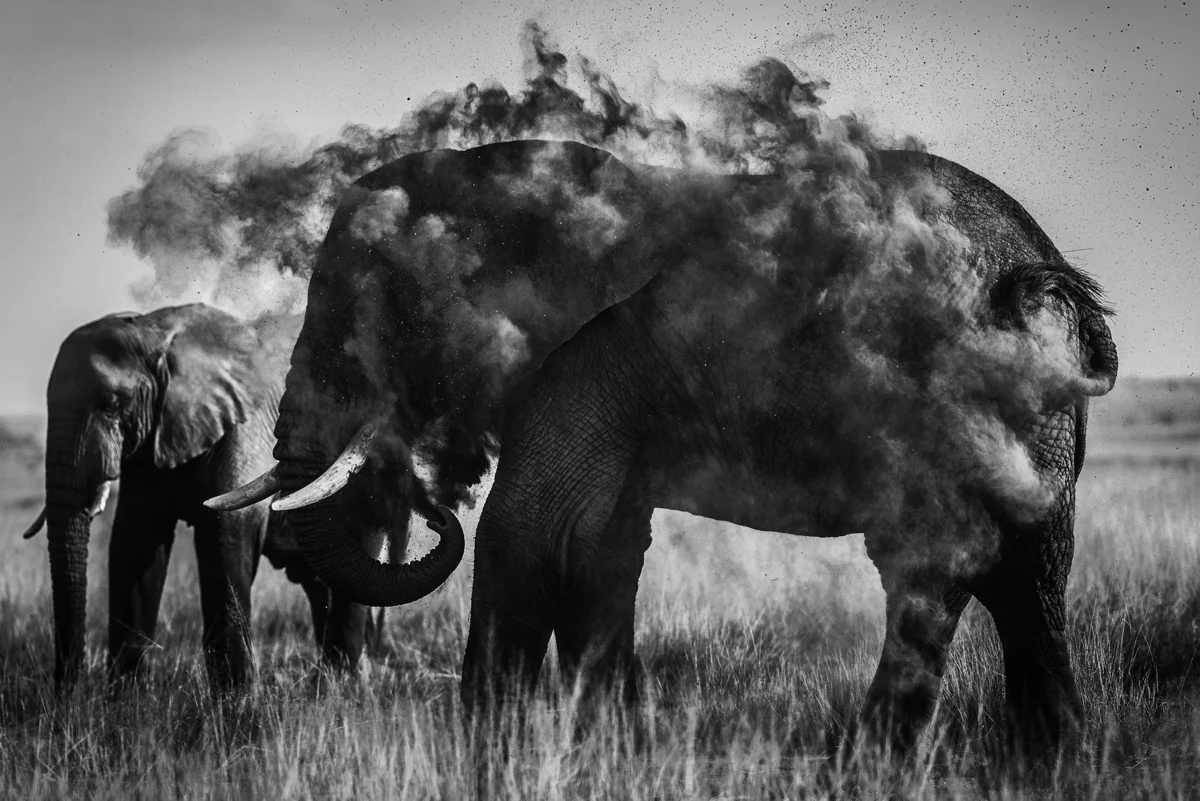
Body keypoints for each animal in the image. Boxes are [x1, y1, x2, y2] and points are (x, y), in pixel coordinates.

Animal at [23, 304, 393, 693]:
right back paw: (331, 683)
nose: (68, 693)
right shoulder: (152, 438)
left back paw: (344, 684)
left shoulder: (246, 425)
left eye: (111, 403)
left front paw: (236, 700)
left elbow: (223, 532)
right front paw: (123, 698)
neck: (156, 333)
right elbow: (135, 541)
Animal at [210, 137, 1118, 757]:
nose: (434, 507)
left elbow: (527, 530)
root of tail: (1047, 271)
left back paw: (868, 759)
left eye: (363, 309)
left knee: (938, 567)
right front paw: (612, 743)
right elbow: (604, 543)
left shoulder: (579, 354)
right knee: (1029, 576)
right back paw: (1048, 757)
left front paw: (489, 751)